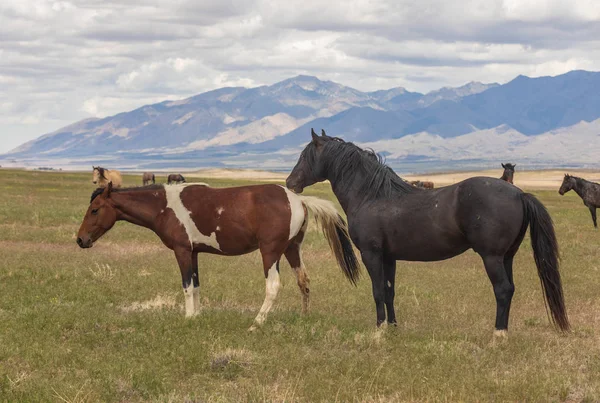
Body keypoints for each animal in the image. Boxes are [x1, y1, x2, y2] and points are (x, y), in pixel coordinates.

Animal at [74, 181, 356, 330]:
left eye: (95, 209)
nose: (81, 239)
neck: (164, 207)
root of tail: (298, 200)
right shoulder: (194, 253)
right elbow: (197, 285)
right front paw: (197, 316)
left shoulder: (183, 251)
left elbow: (187, 286)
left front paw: (188, 317)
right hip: (292, 249)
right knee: (304, 282)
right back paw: (304, 317)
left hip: (271, 252)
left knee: (273, 286)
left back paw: (256, 323)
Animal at [284, 130, 568, 338]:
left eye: (305, 155)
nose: (289, 182)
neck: (372, 196)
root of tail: (519, 193)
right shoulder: (389, 258)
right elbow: (389, 291)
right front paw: (393, 328)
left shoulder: (371, 255)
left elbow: (377, 291)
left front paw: (379, 331)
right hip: (507, 256)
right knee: (510, 290)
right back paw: (504, 332)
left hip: (492, 257)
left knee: (503, 290)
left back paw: (497, 336)